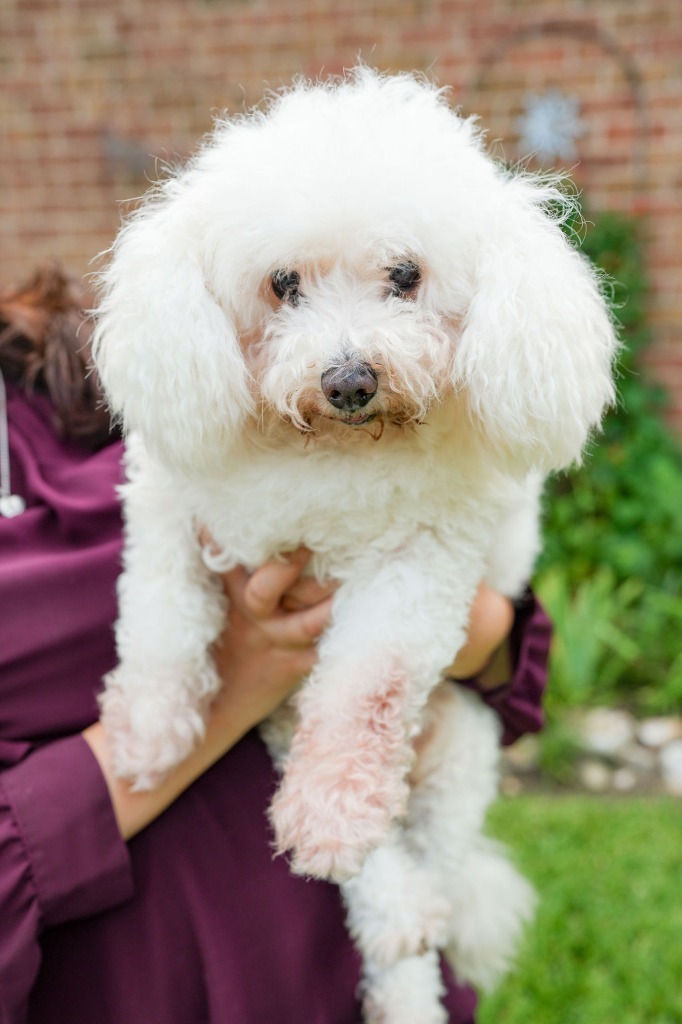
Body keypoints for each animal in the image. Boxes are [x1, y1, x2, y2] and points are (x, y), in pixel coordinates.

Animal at [90, 70, 614, 1024]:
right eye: (282, 283)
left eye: (405, 276)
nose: (348, 381)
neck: (329, 454)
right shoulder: (168, 496)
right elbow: (159, 608)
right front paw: (146, 730)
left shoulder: (421, 565)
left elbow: (364, 690)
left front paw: (332, 810)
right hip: (278, 725)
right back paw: (393, 908)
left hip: (457, 761)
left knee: (415, 876)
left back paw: (399, 931)